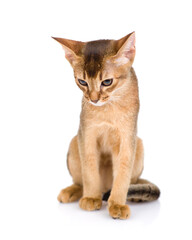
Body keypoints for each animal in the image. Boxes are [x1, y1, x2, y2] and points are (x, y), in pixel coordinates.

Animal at [53, 31, 160, 219]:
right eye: (82, 82)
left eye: (107, 82)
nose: (93, 99)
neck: (108, 109)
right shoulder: (87, 134)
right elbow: (89, 170)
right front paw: (91, 198)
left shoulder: (127, 139)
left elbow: (122, 175)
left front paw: (117, 204)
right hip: (74, 142)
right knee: (80, 182)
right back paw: (73, 192)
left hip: (139, 146)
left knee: (132, 181)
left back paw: (134, 196)